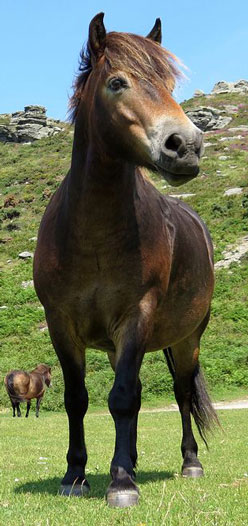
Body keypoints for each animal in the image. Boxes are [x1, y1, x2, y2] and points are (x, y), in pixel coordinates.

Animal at [33, 14, 219, 512]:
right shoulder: (61, 323)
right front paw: (75, 475)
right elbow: (79, 399)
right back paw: (131, 460)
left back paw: (188, 463)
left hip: (187, 339)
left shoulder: (139, 315)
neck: (93, 237)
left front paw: (120, 484)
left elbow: (121, 399)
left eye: (169, 84)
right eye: (118, 82)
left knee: (179, 394)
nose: (186, 145)